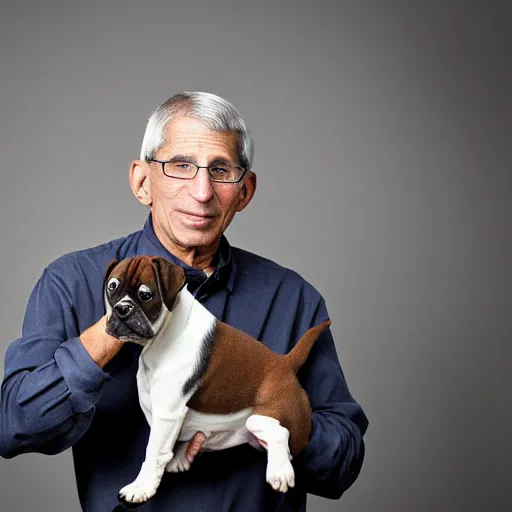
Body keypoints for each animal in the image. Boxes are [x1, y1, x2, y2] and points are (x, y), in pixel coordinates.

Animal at [103, 256, 332, 504]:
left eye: (146, 295)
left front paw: (141, 487)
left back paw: (279, 471)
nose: (122, 309)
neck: (165, 331)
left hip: (274, 416)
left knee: (277, 431)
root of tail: (285, 362)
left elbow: (154, 452)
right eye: (111, 288)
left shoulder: (167, 413)